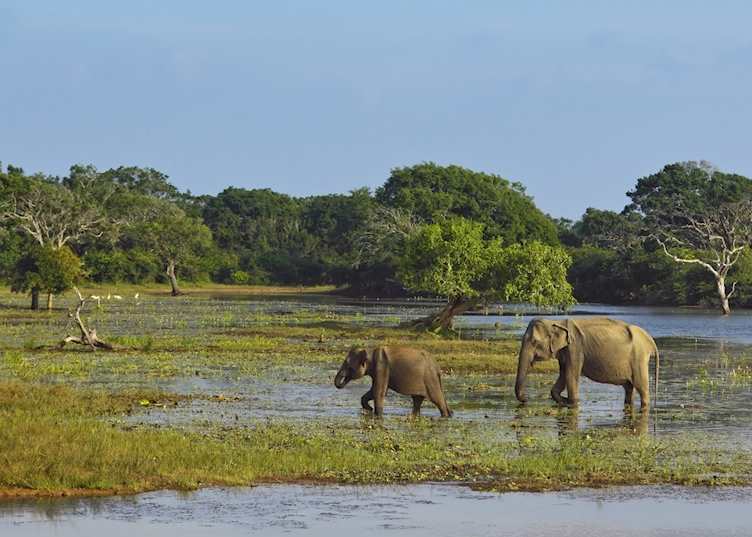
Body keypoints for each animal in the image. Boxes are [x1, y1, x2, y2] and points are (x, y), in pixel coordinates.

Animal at [514, 318, 659, 410]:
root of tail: (650, 340)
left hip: (638, 359)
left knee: (641, 387)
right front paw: (564, 401)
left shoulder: (575, 349)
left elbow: (570, 376)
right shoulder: (565, 351)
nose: (526, 399)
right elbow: (563, 376)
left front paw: (573, 402)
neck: (557, 322)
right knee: (629, 387)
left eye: (534, 342)